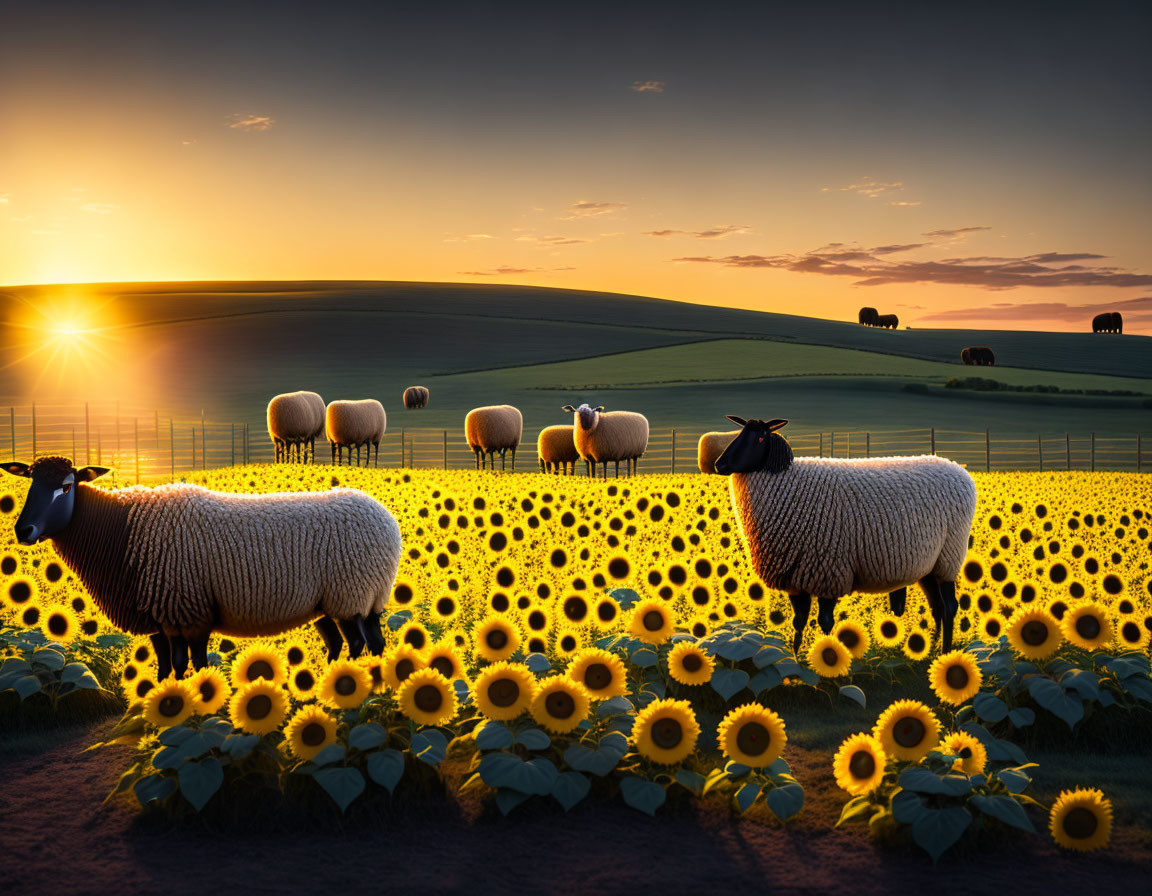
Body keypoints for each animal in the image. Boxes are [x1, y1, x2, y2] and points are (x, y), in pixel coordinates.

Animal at [1, 453, 405, 677]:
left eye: (67, 487)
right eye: (30, 483)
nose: (24, 530)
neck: (120, 530)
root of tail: (385, 516)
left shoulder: (190, 612)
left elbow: (192, 664)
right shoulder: (158, 615)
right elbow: (166, 666)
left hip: (351, 595)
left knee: (359, 643)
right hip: (339, 602)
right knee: (360, 642)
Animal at [714, 414, 976, 654]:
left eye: (760, 438)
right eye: (739, 433)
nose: (719, 465)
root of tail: (959, 469)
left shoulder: (829, 571)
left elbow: (825, 622)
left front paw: (824, 659)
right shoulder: (795, 577)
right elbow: (798, 622)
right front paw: (796, 658)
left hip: (949, 554)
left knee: (949, 606)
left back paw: (945, 652)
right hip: (929, 564)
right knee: (937, 606)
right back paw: (930, 651)